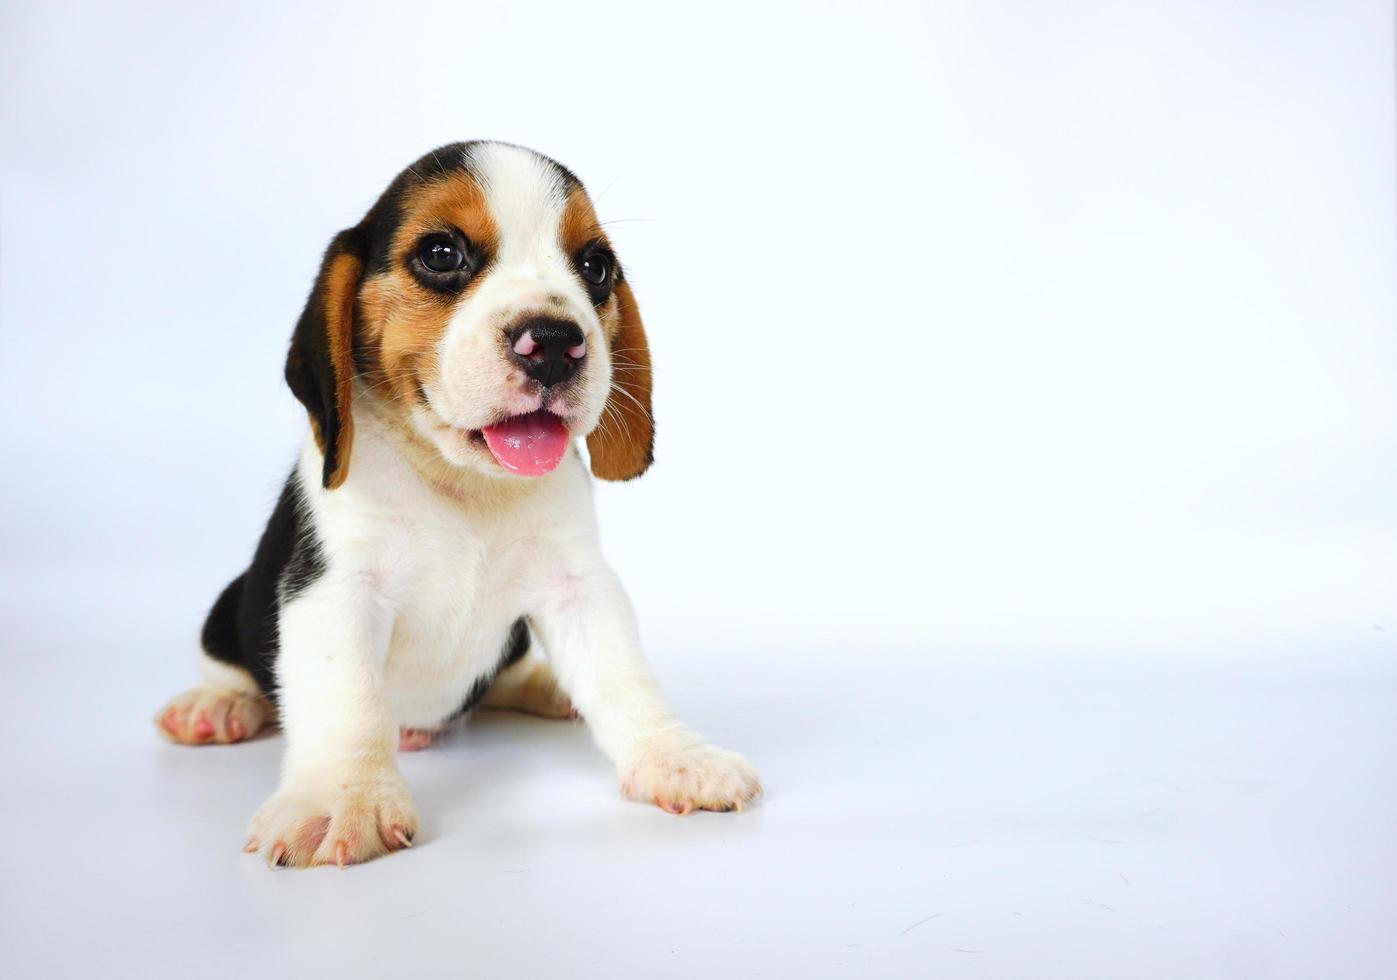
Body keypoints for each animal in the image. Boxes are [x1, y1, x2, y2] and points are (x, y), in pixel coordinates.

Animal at [157, 142, 759, 871]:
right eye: (441, 254)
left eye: (594, 266)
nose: (554, 342)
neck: (462, 485)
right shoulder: (333, 589)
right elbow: (346, 697)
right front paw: (342, 799)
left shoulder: (579, 586)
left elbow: (624, 677)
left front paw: (676, 757)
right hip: (233, 602)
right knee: (227, 661)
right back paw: (215, 705)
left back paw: (547, 688)